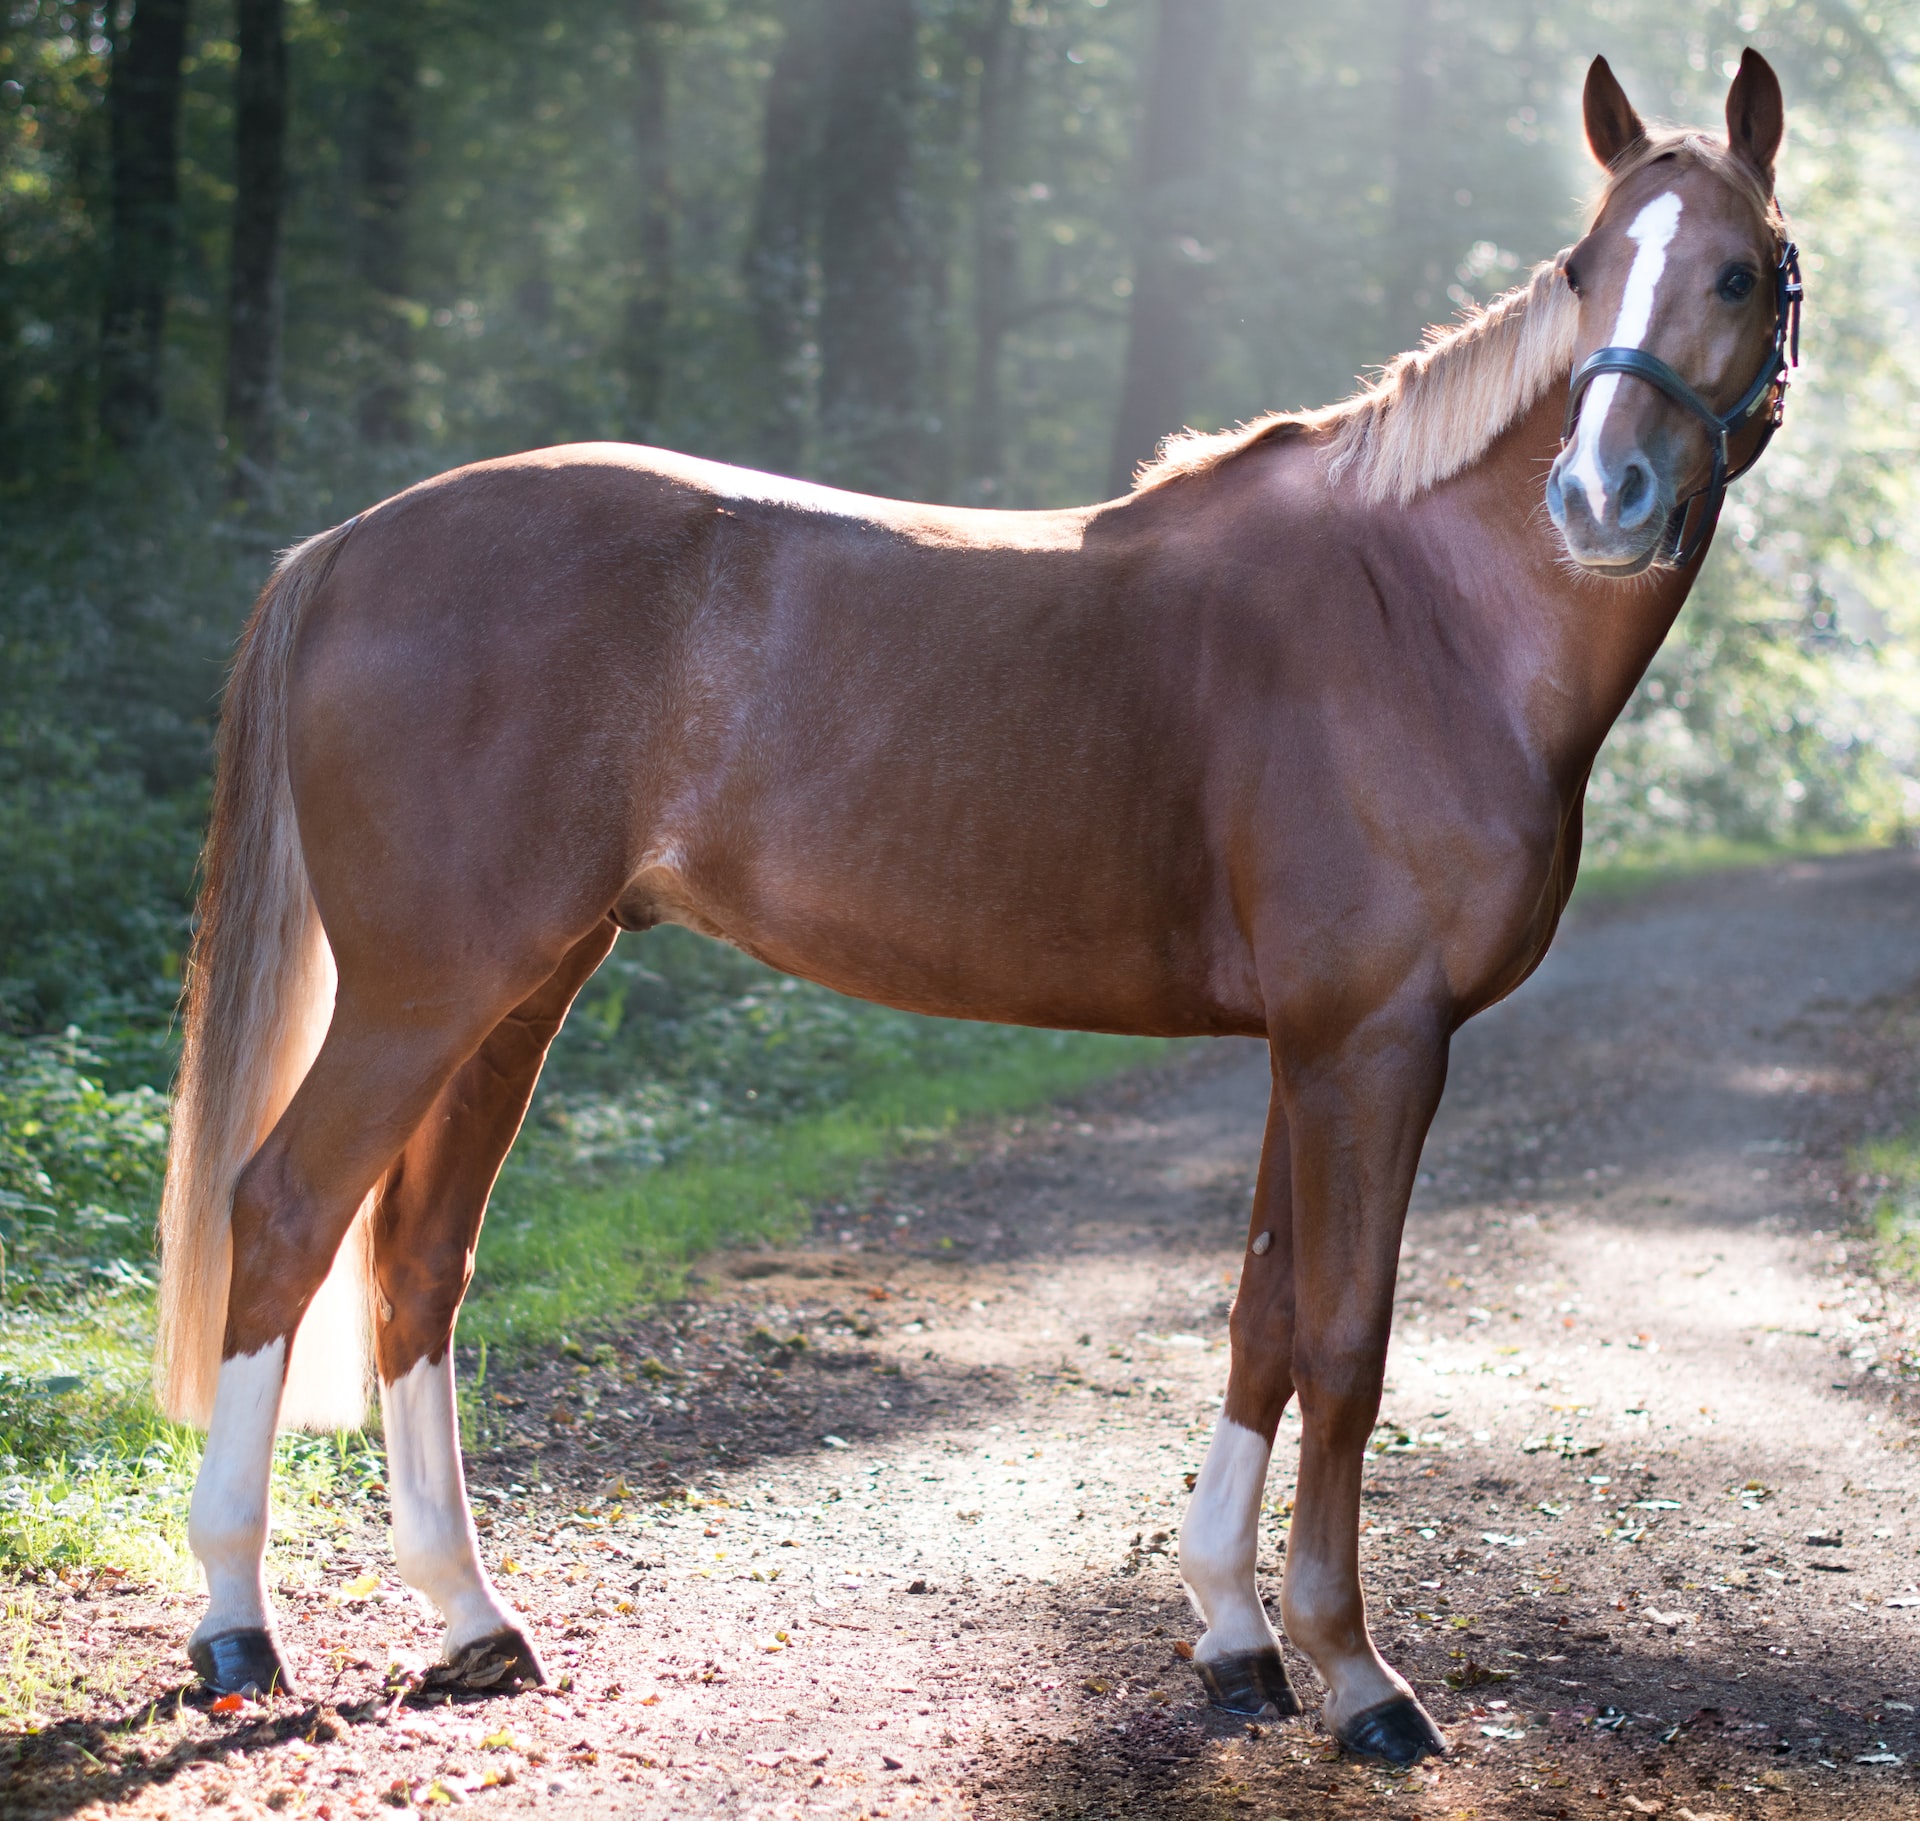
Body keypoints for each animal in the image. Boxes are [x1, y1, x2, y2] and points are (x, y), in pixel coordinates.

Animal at [161, 53, 1797, 1767]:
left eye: (1737, 272)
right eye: (1586, 271)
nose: (1598, 497)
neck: (1425, 613)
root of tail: (348, 545)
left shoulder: (1311, 1044)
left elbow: (1263, 1317)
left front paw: (1233, 1636)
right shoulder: (1377, 1041)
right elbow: (1346, 1343)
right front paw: (1354, 1671)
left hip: (520, 983)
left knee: (419, 1255)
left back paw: (472, 1621)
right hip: (425, 990)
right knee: (287, 1211)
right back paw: (236, 1624)